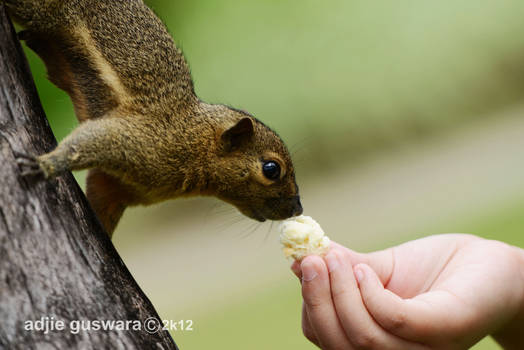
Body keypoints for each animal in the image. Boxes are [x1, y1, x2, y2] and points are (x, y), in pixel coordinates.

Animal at [5, 0, 302, 237]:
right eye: (271, 169)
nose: (297, 209)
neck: (194, 141)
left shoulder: (115, 187)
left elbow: (102, 203)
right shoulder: (139, 139)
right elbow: (89, 140)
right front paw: (45, 165)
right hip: (43, 10)